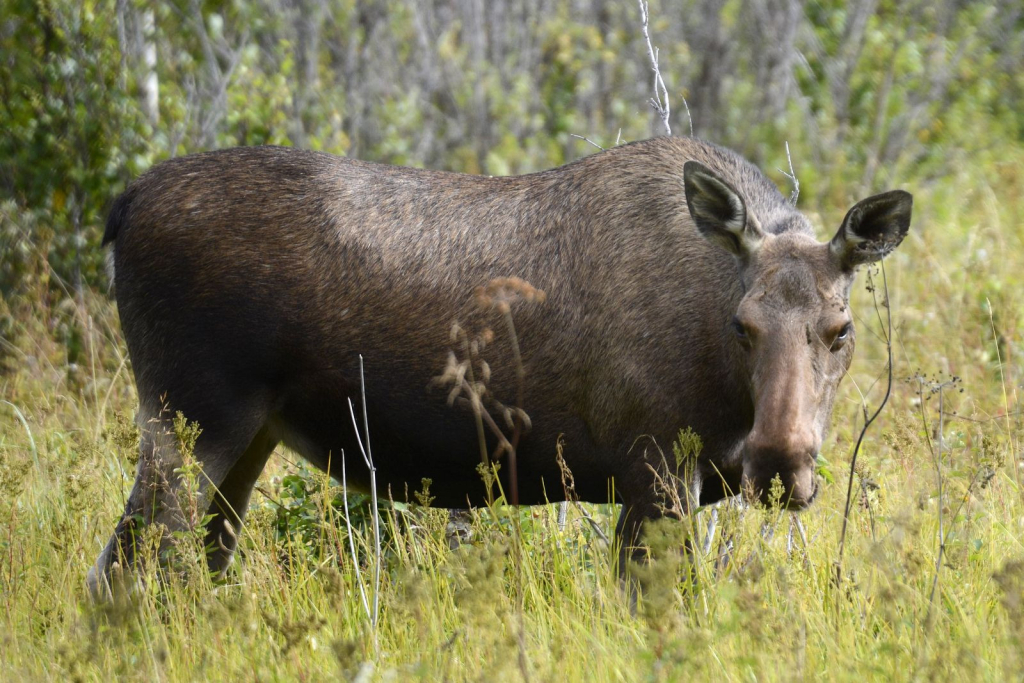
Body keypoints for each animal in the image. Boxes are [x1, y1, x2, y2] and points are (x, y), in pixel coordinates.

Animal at [90, 135, 913, 598]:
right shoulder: (653, 470)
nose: (779, 462)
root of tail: (121, 207)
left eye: (840, 328)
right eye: (743, 326)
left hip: (246, 435)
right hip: (188, 417)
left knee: (194, 565)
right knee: (121, 573)